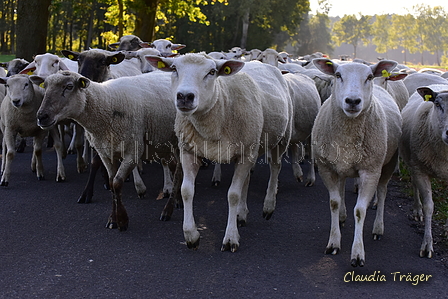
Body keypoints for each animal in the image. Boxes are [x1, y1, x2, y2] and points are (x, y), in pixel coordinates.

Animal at [34, 71, 178, 231]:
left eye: (69, 87)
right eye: (45, 86)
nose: (41, 117)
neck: (107, 102)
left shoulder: (132, 151)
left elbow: (117, 183)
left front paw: (122, 220)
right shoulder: (105, 152)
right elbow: (111, 182)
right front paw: (113, 220)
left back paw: (167, 211)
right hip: (166, 145)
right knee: (176, 169)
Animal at [146, 52, 294, 252]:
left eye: (211, 72)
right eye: (174, 69)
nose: (185, 96)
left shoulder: (244, 153)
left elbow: (233, 195)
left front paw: (230, 238)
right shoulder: (189, 151)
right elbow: (186, 191)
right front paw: (191, 235)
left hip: (280, 138)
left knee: (275, 168)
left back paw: (268, 207)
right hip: (252, 147)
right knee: (247, 178)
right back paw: (241, 214)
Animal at [312, 58, 402, 268]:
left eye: (368, 77)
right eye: (338, 75)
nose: (353, 101)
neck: (347, 135)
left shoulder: (370, 171)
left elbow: (360, 210)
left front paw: (358, 254)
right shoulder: (326, 168)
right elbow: (334, 202)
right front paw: (334, 242)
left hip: (388, 162)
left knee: (382, 191)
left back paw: (378, 228)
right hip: (342, 165)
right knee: (342, 187)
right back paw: (342, 217)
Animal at [398, 83, 448, 258]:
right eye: (437, 104)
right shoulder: (420, 170)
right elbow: (429, 207)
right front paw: (427, 244)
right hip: (413, 163)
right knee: (414, 185)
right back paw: (417, 210)